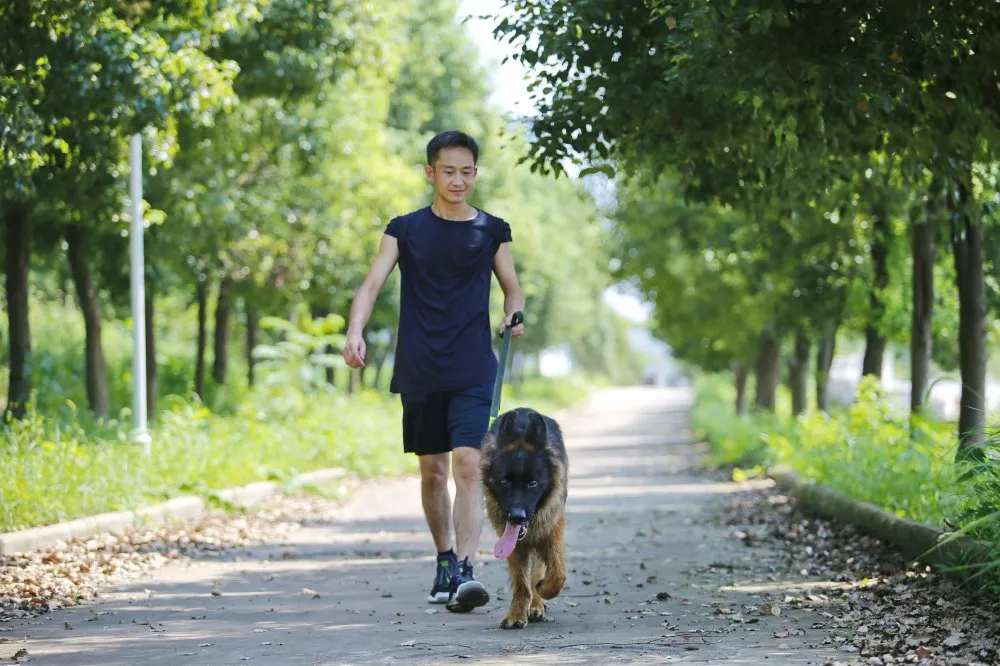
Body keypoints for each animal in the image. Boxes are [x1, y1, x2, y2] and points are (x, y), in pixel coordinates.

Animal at [480, 404, 568, 628]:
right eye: (504, 482)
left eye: (533, 483)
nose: (517, 517)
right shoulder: (512, 542)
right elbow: (522, 582)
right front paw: (517, 613)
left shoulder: (551, 529)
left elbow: (557, 574)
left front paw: (543, 590)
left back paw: (537, 603)